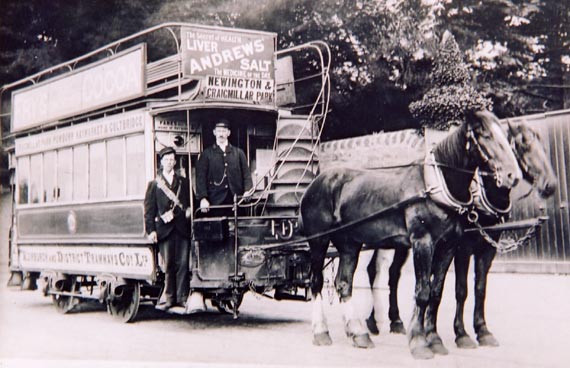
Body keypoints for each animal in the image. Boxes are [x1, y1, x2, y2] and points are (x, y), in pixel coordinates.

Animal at [302, 111, 520, 360]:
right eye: (485, 135)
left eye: (506, 137)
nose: (512, 176)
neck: (435, 187)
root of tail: (316, 182)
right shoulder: (423, 242)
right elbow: (423, 291)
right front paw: (419, 342)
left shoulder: (448, 247)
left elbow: (436, 292)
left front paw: (435, 339)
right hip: (319, 241)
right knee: (317, 281)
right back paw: (321, 331)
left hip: (350, 244)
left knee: (344, 283)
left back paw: (359, 333)